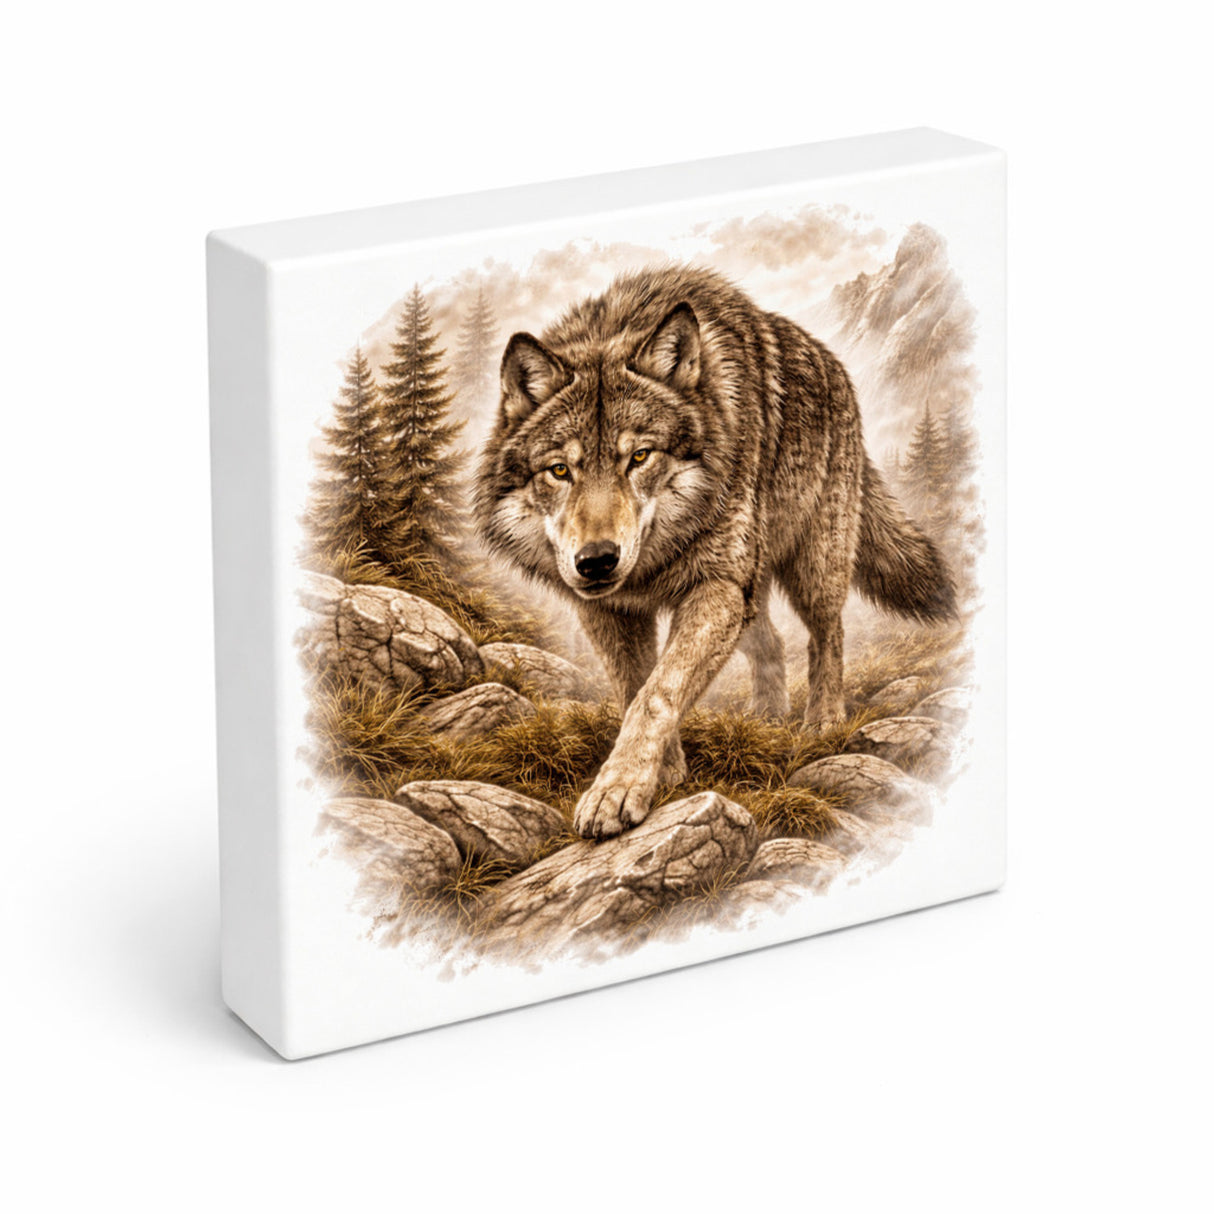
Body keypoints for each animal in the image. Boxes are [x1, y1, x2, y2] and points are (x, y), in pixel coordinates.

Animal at [475, 265, 954, 839]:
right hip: (749, 597)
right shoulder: (608, 610)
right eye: (560, 470)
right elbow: (636, 687)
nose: (596, 561)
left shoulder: (716, 589)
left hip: (810, 568)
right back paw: (768, 718)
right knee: (772, 643)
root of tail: (834, 366)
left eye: (640, 456)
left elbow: (657, 693)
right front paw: (662, 773)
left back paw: (822, 721)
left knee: (827, 635)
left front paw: (618, 789)